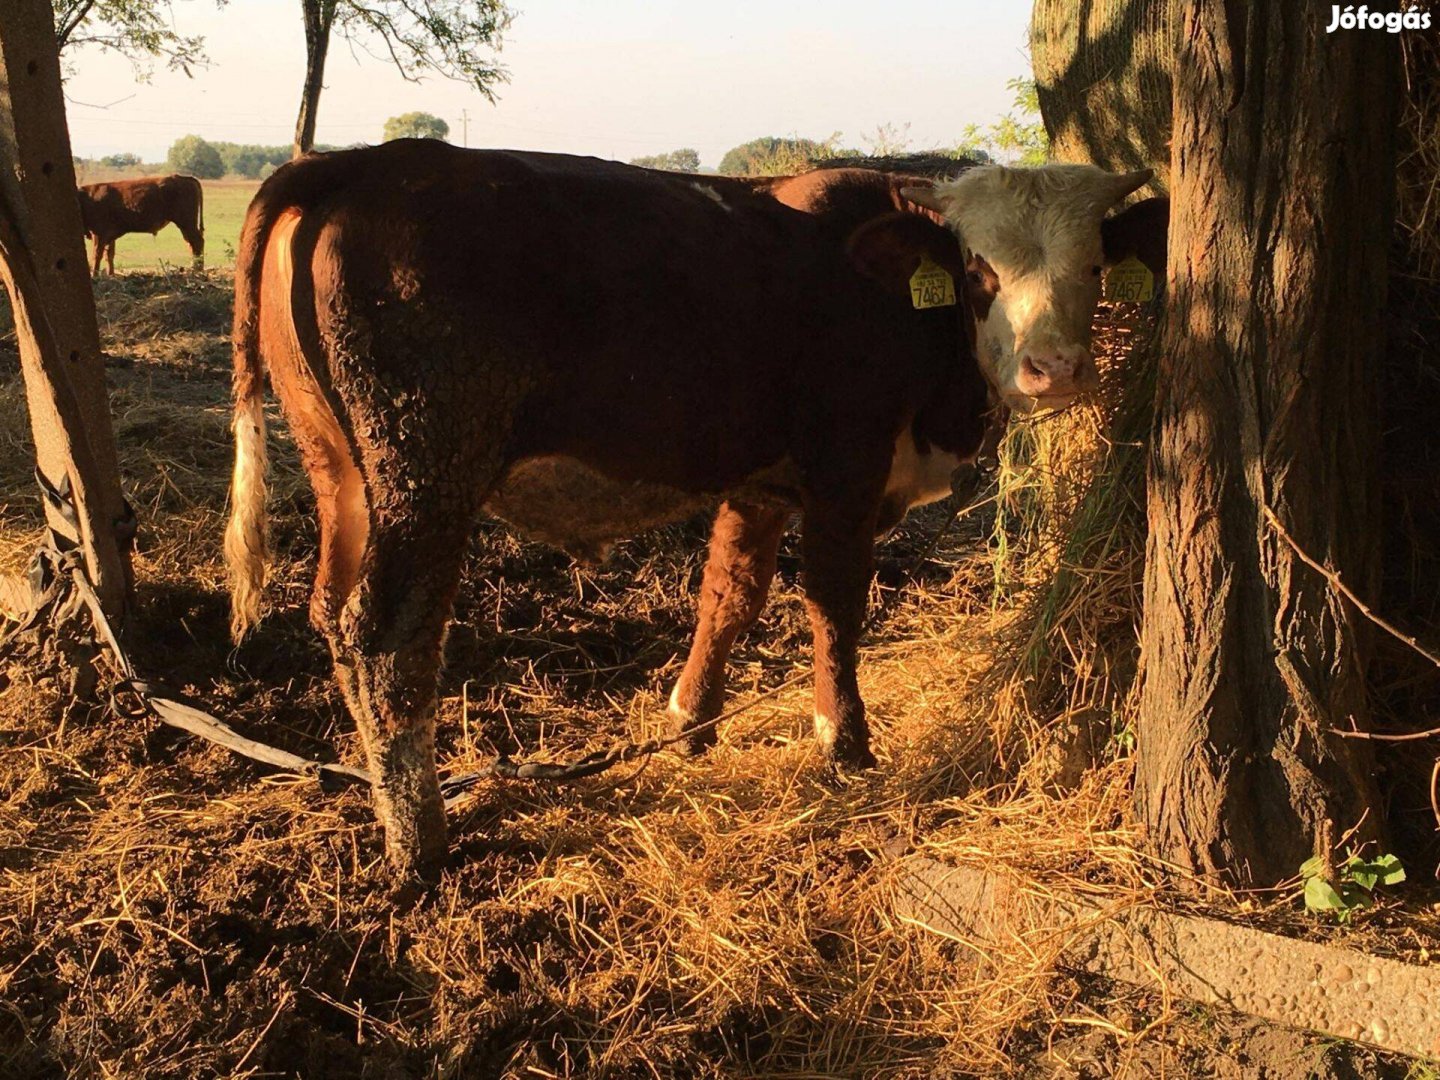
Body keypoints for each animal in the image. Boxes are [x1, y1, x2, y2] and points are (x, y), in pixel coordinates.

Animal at [77, 173, 205, 275]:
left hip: (186, 223)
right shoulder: (109, 236)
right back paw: (194, 268)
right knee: (190, 243)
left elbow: (97, 255)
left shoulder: (98, 234)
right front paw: (110, 274)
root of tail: (183, 177)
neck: (87, 198)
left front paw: (95, 275)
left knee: (197, 242)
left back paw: (197, 269)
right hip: (185, 226)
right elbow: (109, 255)